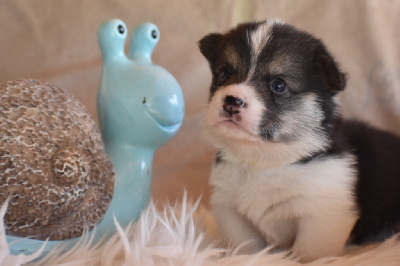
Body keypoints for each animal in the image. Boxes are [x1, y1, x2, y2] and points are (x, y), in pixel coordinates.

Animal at [200, 19, 400, 260]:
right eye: (223, 73)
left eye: (278, 84)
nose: (231, 100)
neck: (263, 158)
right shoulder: (228, 208)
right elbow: (245, 246)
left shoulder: (323, 214)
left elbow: (308, 253)